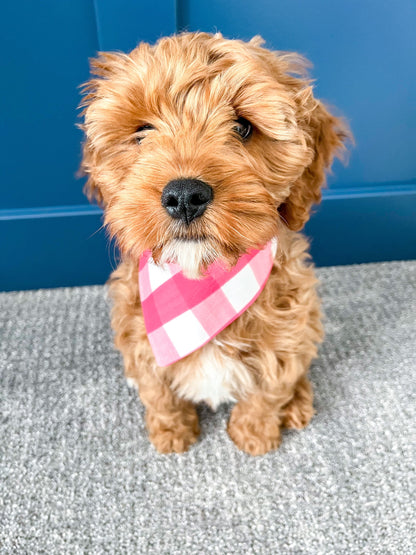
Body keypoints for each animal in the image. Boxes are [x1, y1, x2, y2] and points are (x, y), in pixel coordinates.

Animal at [79, 31, 350, 456]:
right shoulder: (139, 338)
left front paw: (254, 435)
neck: (203, 280)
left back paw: (297, 403)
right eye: (142, 131)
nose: (184, 196)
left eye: (242, 127)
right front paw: (172, 431)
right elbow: (158, 392)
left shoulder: (288, 335)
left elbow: (270, 390)